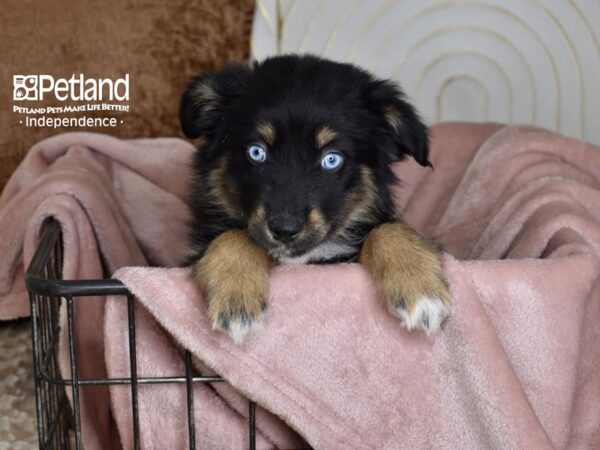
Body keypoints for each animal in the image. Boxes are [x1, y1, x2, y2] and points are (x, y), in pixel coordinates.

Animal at [179, 54, 450, 342]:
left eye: (331, 159)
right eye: (256, 152)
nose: (284, 230)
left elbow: (388, 229)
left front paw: (421, 291)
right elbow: (233, 236)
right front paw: (236, 297)